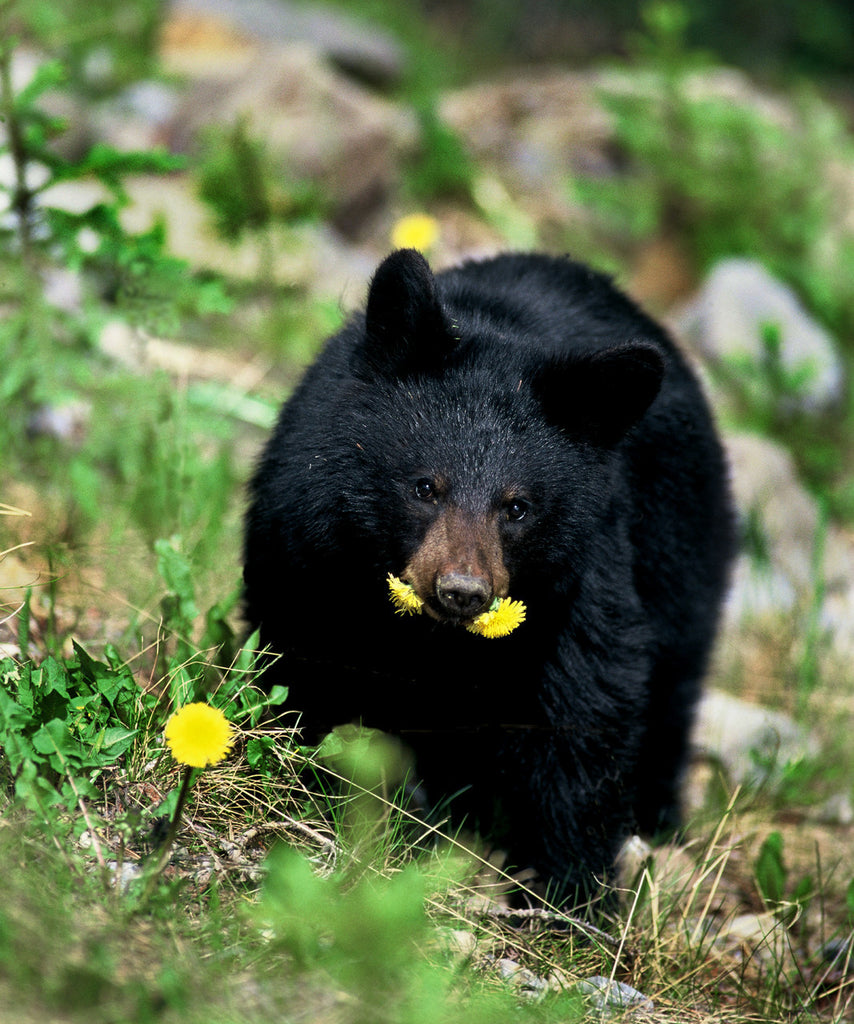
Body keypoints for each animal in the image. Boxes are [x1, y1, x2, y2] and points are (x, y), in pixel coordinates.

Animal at [243, 248, 735, 910]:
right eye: (425, 486)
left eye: (517, 507)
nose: (462, 591)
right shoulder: (308, 540)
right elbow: (303, 660)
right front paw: (302, 782)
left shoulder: (580, 577)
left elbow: (585, 714)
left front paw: (570, 894)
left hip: (682, 556)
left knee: (673, 688)